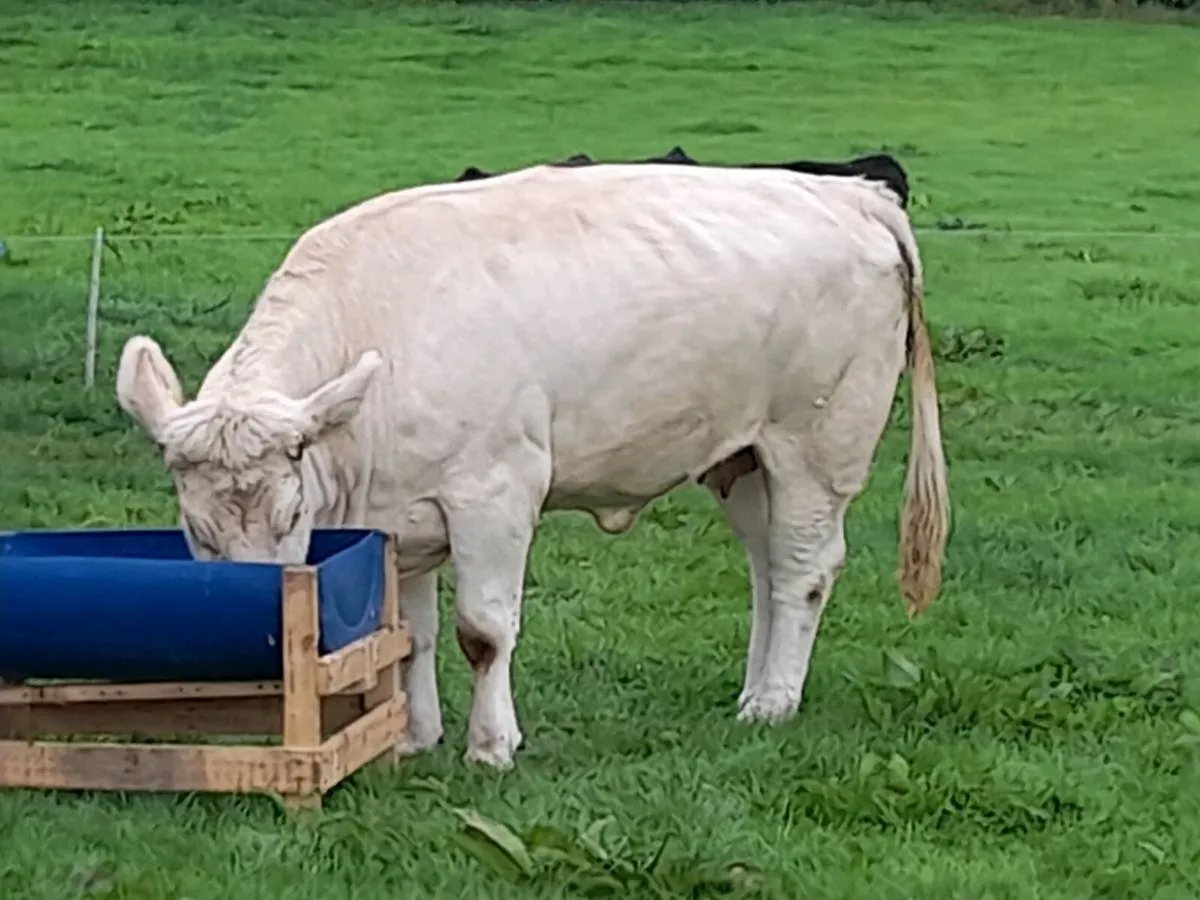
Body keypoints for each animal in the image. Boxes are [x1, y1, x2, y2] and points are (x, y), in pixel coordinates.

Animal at [115, 161, 949, 770]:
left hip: (814, 444)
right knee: (768, 569)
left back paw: (774, 702)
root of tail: (852, 192)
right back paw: (753, 693)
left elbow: (482, 632)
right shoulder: (400, 518)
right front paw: (414, 739)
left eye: (292, 516)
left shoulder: (494, 493)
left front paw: (491, 748)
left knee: (804, 571)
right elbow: (411, 633)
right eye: (196, 527)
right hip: (741, 460)